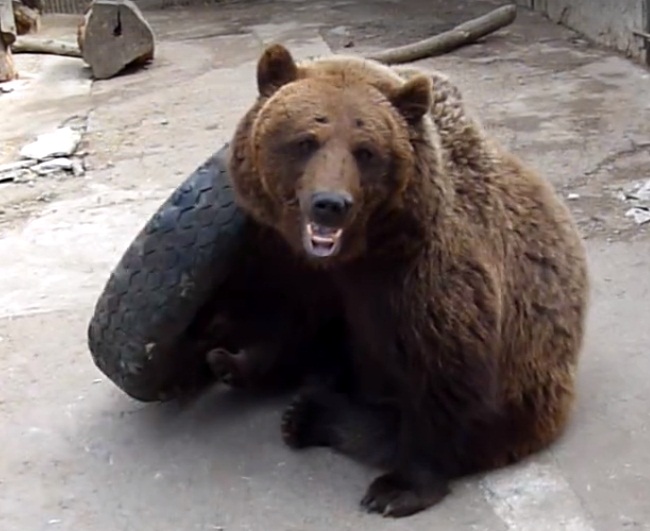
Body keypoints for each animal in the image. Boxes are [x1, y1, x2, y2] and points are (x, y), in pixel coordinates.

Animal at [226, 43, 590, 519]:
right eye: (306, 140)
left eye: (365, 150)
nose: (330, 204)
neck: (362, 252)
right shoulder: (300, 264)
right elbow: (288, 317)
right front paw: (239, 360)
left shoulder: (426, 278)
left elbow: (441, 373)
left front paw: (398, 489)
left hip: (526, 399)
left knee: (385, 426)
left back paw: (313, 415)